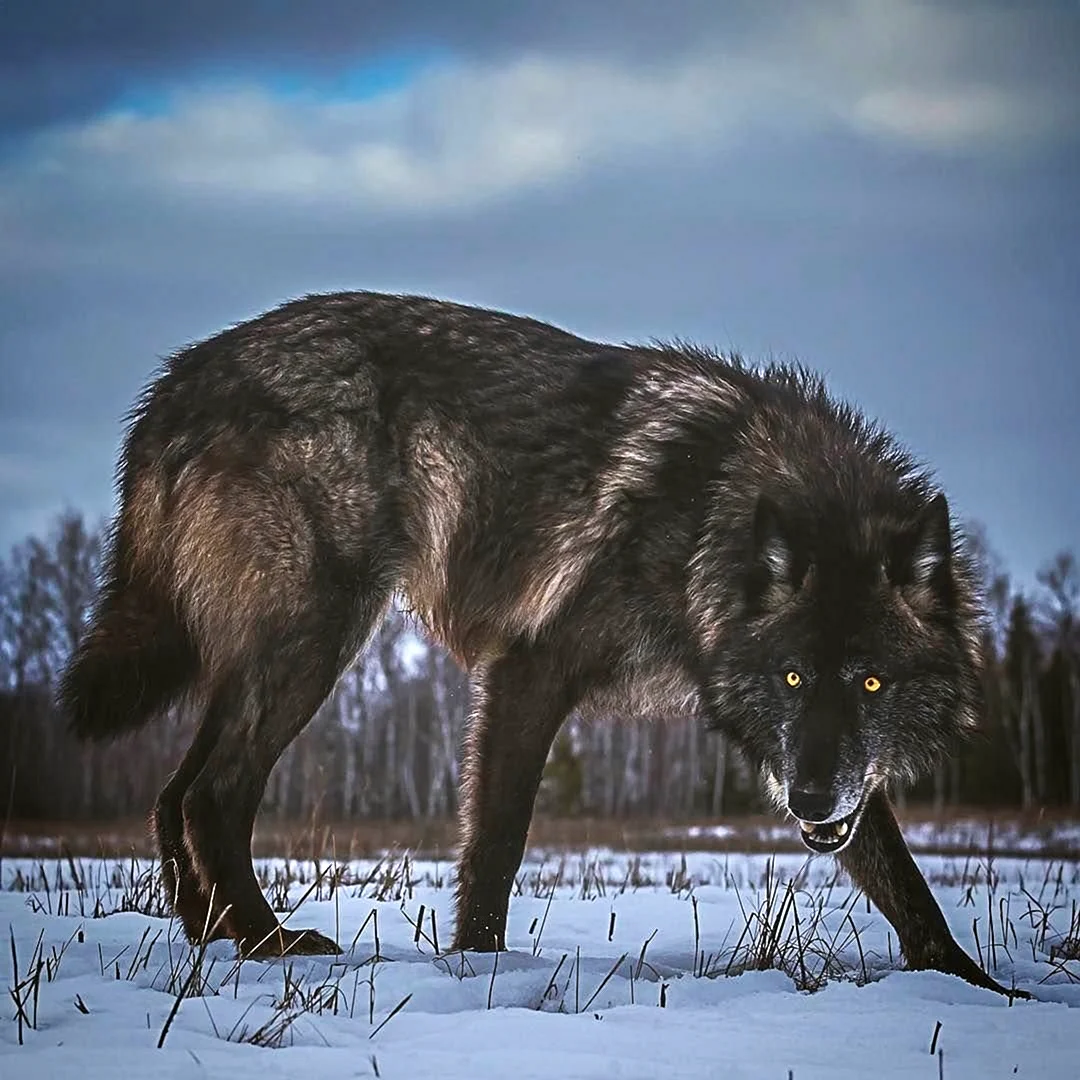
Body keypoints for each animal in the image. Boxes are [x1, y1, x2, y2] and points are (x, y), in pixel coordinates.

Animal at [60, 291, 1013, 994]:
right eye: (791, 677)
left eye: (871, 684)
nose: (810, 803)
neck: (714, 517)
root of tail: (178, 379)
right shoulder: (528, 670)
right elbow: (497, 845)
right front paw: (480, 970)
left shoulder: (828, 768)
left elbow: (905, 881)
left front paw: (976, 989)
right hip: (313, 645)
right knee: (212, 795)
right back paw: (268, 947)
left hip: (259, 663)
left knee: (171, 795)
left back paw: (210, 941)